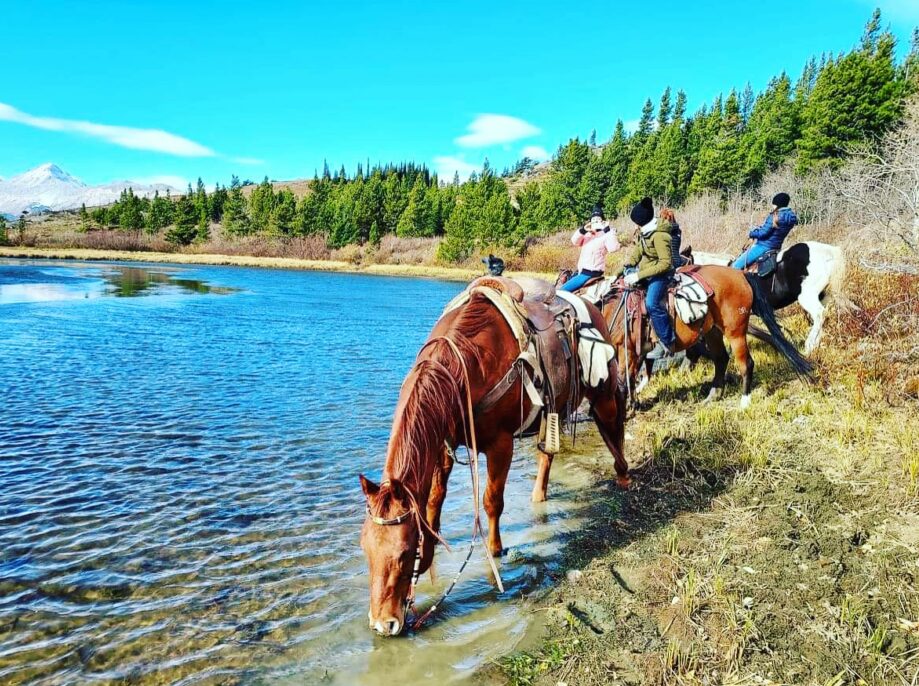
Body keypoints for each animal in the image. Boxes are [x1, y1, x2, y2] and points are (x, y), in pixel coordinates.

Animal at [360, 284, 624, 640]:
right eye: (365, 549)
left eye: (403, 554)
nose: (382, 624)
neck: (466, 368)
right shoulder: (443, 447)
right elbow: (434, 503)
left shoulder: (500, 446)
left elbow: (491, 502)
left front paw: (496, 550)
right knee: (547, 454)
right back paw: (538, 496)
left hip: (603, 393)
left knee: (614, 426)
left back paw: (625, 478)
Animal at [604, 266, 812, 408]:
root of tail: (741, 275)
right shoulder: (633, 351)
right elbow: (630, 376)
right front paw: (633, 403)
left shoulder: (627, 349)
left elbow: (624, 378)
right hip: (713, 331)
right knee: (721, 359)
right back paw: (713, 394)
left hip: (735, 332)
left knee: (746, 363)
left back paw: (744, 401)